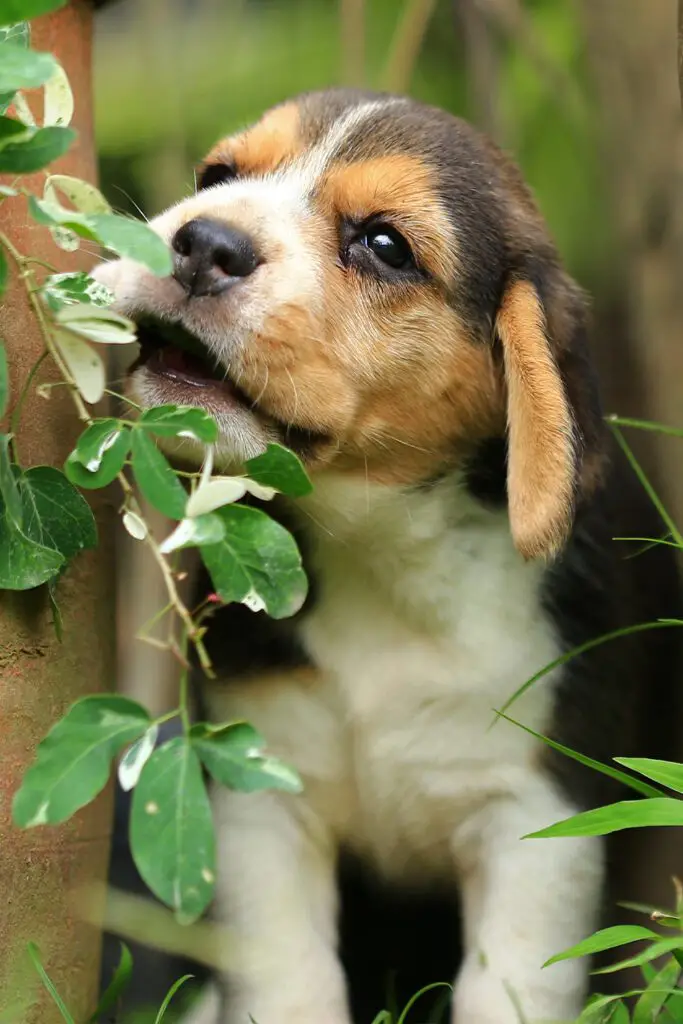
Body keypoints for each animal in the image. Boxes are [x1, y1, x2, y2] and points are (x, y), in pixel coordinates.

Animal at [93, 90, 679, 1024]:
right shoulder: (260, 797)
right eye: (218, 175)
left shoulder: (533, 821)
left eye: (384, 246)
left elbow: (503, 987)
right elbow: (289, 980)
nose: (203, 242)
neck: (379, 551)